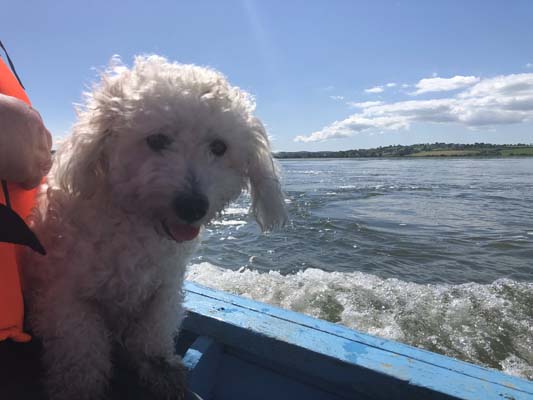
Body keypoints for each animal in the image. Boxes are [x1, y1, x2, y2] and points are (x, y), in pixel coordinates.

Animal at [22, 55, 287, 400]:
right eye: (157, 140)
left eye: (219, 147)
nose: (193, 206)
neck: (135, 225)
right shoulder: (66, 297)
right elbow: (81, 351)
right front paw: (78, 387)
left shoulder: (164, 288)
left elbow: (154, 335)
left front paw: (161, 370)